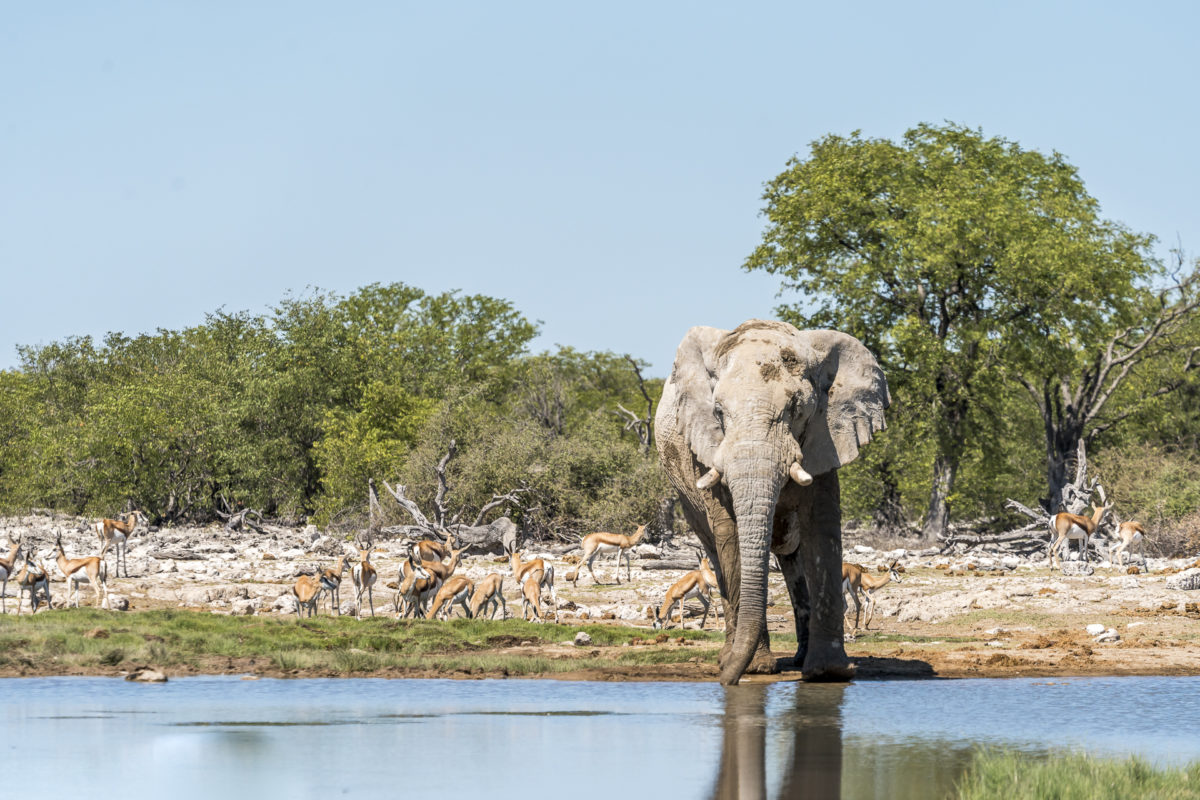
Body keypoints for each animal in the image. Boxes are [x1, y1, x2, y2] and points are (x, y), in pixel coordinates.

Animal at [652, 321, 888, 686]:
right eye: (718, 412)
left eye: (796, 410)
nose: (726, 681)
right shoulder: (705, 452)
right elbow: (730, 533)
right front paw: (754, 668)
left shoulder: (826, 438)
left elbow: (821, 529)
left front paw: (829, 673)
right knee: (716, 552)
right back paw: (731, 655)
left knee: (794, 564)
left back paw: (799, 659)